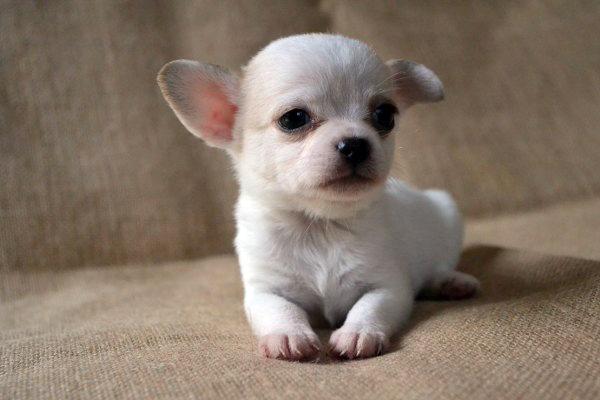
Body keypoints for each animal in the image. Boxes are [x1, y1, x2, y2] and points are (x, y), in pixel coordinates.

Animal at [158, 33, 480, 361]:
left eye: (385, 116)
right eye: (294, 119)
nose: (356, 144)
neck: (321, 224)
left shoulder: (389, 287)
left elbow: (370, 308)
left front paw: (358, 333)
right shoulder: (264, 291)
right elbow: (280, 309)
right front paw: (289, 334)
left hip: (447, 216)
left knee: (437, 267)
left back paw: (450, 282)